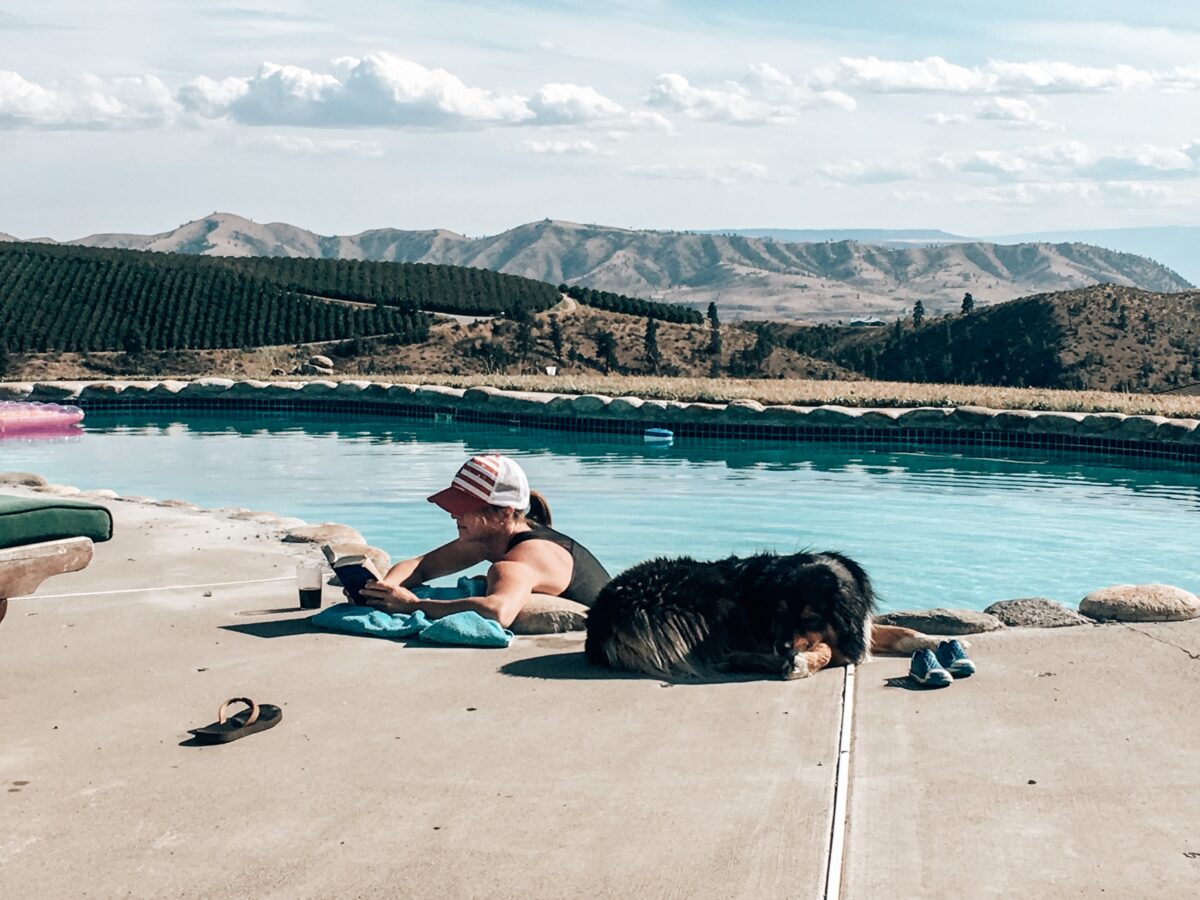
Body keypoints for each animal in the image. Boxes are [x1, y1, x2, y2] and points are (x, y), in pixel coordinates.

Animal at [585, 549, 940, 681]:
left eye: (810, 617)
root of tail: (604, 611)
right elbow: (827, 649)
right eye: (778, 613)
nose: (780, 647)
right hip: (720, 605)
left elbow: (893, 631)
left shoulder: (858, 626)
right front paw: (802, 662)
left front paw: (930, 641)